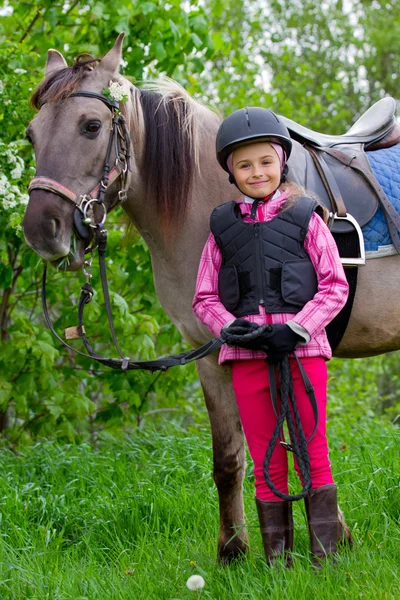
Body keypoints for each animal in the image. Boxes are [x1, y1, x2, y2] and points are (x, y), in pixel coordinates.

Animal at [21, 36, 400, 564]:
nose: (42, 230)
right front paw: (234, 552)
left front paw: (331, 540)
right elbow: (229, 458)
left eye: (91, 126)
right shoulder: (210, 351)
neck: (210, 197)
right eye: (32, 136)